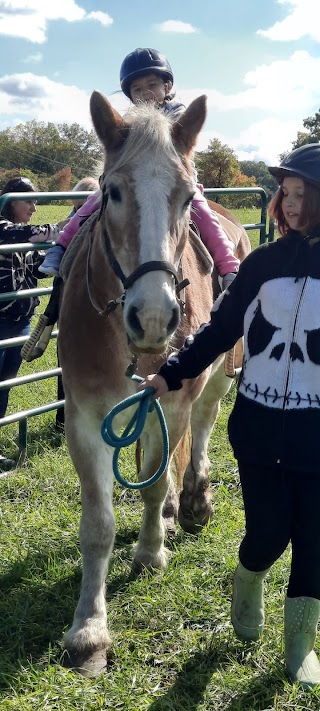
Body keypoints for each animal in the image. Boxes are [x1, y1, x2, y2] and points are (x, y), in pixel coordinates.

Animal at [58, 92, 252, 676]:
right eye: (112, 191)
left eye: (188, 197)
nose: (153, 317)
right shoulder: (85, 418)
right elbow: (98, 524)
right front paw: (89, 630)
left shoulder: (174, 403)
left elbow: (155, 479)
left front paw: (149, 552)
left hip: (213, 382)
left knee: (202, 435)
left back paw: (191, 503)